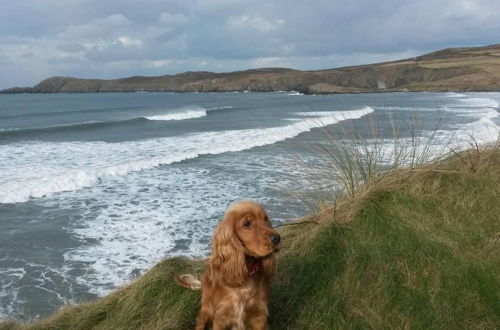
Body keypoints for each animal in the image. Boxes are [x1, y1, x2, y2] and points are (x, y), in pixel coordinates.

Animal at [174, 200, 280, 328]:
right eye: (247, 223)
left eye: (265, 219)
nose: (277, 238)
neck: (247, 273)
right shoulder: (222, 316)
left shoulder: (259, 315)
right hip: (207, 309)